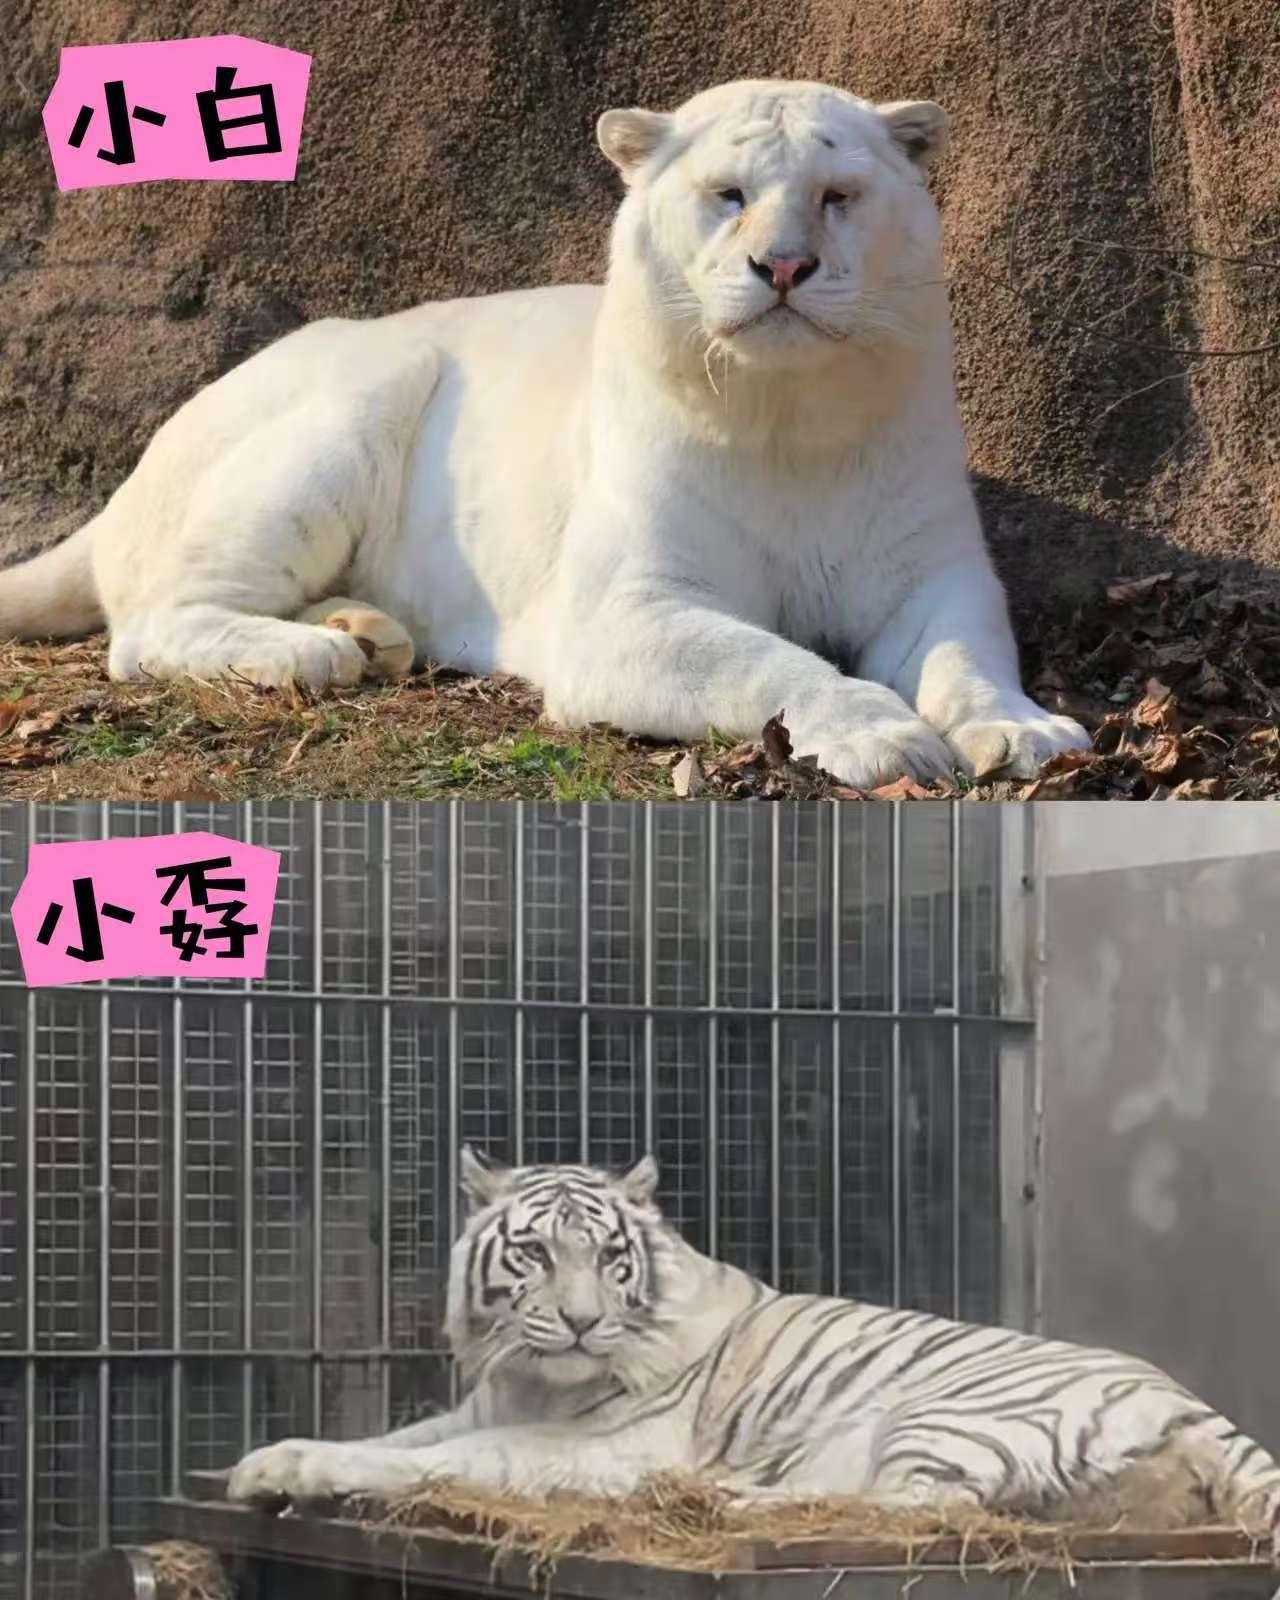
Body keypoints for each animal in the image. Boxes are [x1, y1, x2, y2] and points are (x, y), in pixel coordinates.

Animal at [226, 1149, 1280, 1553]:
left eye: (609, 1259)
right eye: (532, 1253)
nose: (581, 1322)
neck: (537, 1383)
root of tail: (1197, 1404)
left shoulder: (608, 1446)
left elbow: (456, 1461)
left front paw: (293, 1469)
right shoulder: (482, 1401)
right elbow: (402, 1439)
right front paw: (275, 1461)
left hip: (944, 1412)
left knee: (915, 1507)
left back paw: (724, 1499)